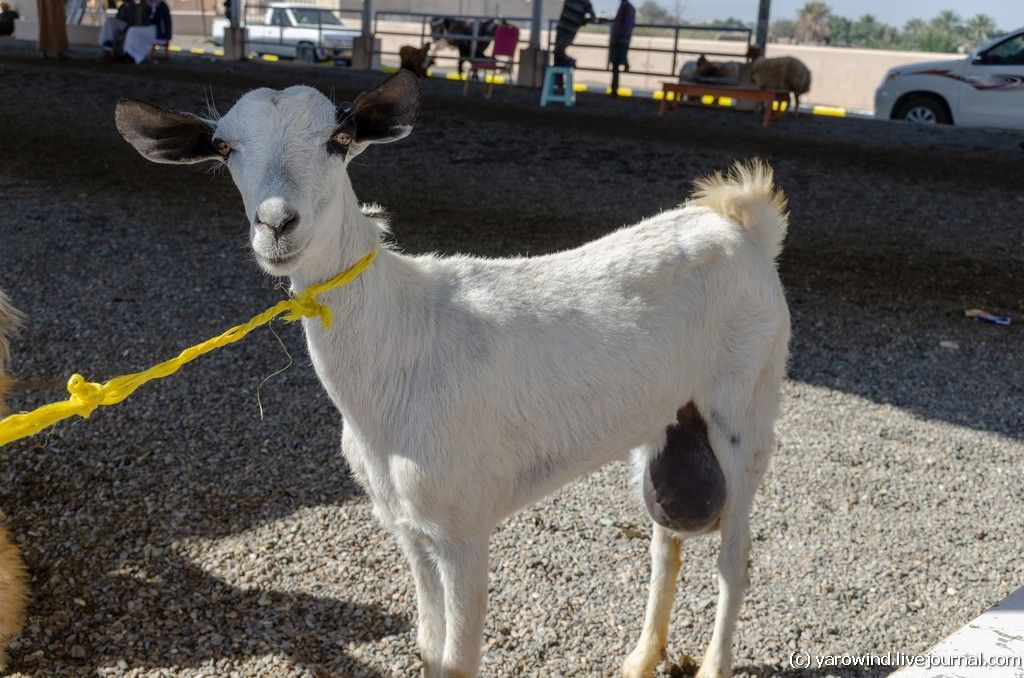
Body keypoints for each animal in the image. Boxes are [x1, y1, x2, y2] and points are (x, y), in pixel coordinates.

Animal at [117, 71, 790, 675]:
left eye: (339, 137)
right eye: (224, 147)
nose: (277, 225)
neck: (400, 347)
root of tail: (742, 223)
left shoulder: (464, 526)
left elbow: (460, 658)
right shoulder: (410, 526)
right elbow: (428, 646)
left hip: (749, 413)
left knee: (735, 559)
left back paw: (712, 665)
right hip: (669, 423)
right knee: (665, 537)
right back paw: (641, 657)